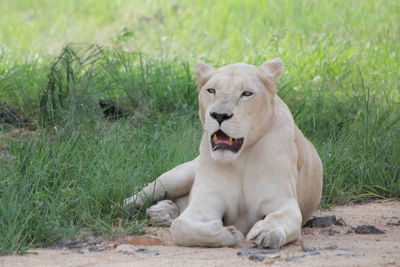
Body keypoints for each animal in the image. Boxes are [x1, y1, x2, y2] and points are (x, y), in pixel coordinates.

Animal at [125, 58, 322, 249]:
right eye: (211, 90)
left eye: (247, 94)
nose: (219, 115)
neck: (241, 158)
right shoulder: (204, 203)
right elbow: (182, 226)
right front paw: (230, 233)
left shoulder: (282, 202)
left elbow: (278, 217)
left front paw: (267, 233)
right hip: (175, 178)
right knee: (137, 198)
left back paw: (163, 211)